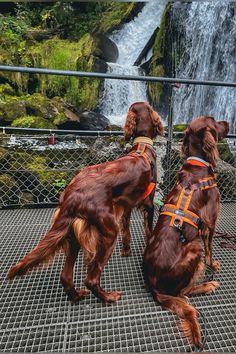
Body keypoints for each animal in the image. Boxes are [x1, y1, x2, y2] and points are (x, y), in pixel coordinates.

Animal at [8, 102, 164, 304]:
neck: (142, 146)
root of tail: (72, 194)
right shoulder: (149, 205)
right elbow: (148, 232)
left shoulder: (126, 206)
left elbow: (127, 231)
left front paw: (126, 251)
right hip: (108, 232)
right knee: (91, 278)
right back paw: (108, 296)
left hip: (73, 233)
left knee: (66, 275)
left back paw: (76, 295)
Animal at [143, 115, 230, 348]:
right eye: (215, 121)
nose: (228, 123)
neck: (198, 164)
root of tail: (154, 286)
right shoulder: (211, 220)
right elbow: (210, 248)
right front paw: (213, 265)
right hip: (193, 248)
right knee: (183, 292)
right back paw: (207, 285)